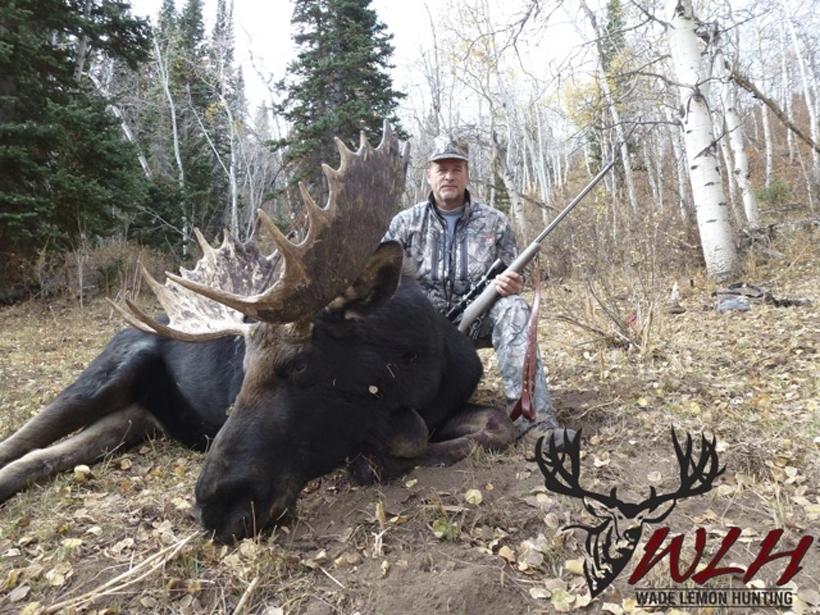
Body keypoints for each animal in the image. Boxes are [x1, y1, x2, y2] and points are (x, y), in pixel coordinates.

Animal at [0, 124, 514, 543]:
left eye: (300, 363)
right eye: (242, 367)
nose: (216, 508)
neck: (418, 368)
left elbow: (496, 425)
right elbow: (401, 441)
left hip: (132, 419)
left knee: (39, 458)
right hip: (102, 378)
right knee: (21, 443)